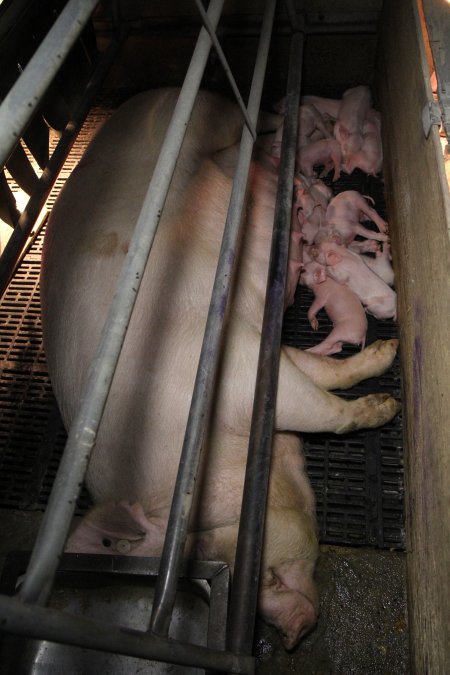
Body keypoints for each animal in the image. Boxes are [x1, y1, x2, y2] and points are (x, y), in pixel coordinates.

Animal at [39, 87, 400, 652]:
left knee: (257, 115)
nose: (294, 636)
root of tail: (146, 97)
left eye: (262, 574)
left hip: (214, 112)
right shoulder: (262, 352)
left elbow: (323, 410)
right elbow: (319, 374)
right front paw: (386, 360)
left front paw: (388, 405)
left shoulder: (239, 370)